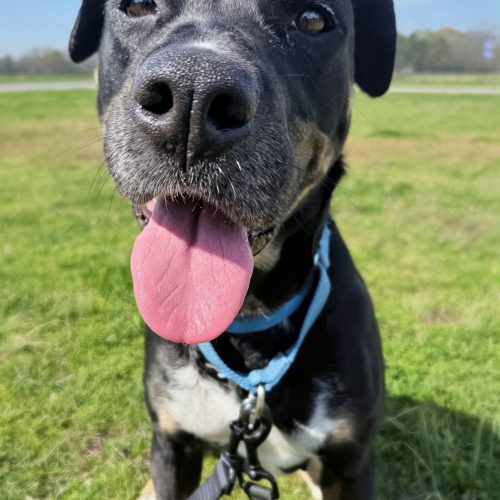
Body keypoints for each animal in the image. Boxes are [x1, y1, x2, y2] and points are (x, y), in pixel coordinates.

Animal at [70, 1, 396, 498]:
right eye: (138, 6)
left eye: (313, 20)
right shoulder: (173, 441)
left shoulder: (350, 459)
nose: (193, 93)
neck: (249, 322)